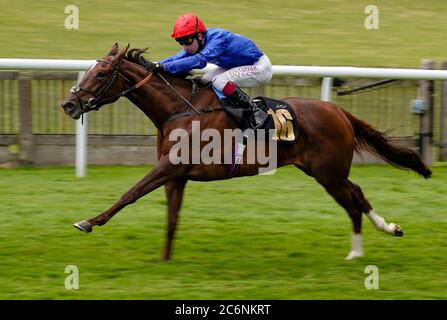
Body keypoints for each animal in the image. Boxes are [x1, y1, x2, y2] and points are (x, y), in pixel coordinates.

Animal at [61, 43, 432, 262]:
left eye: (103, 72)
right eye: (91, 69)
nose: (69, 104)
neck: (180, 109)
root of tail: (339, 111)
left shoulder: (168, 167)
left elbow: (130, 193)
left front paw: (89, 221)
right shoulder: (176, 174)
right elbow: (171, 217)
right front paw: (165, 260)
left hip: (329, 173)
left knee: (353, 201)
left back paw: (356, 252)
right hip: (326, 172)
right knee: (358, 194)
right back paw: (389, 229)